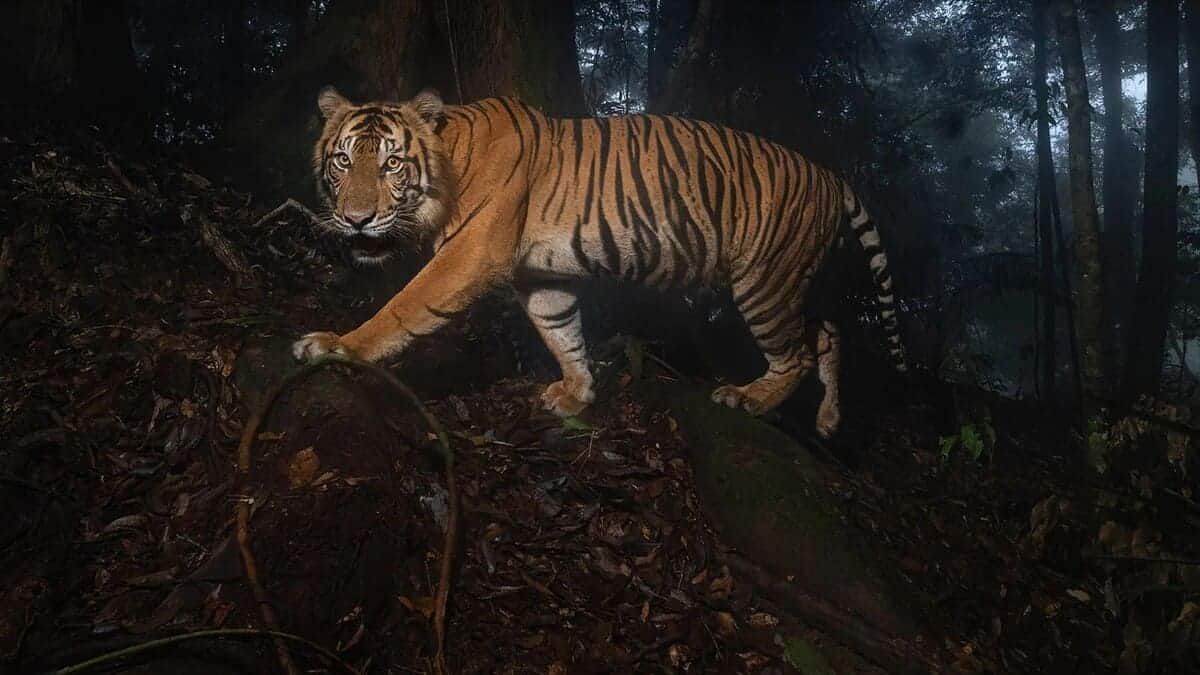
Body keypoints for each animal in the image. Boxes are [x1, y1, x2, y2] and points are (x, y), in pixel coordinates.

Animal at [293, 87, 906, 438]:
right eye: (343, 161)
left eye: (392, 163)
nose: (355, 220)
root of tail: (830, 175)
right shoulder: (540, 277)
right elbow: (561, 331)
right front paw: (578, 392)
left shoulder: (468, 256)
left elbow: (404, 307)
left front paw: (335, 345)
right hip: (791, 280)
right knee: (829, 331)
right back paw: (828, 420)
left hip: (765, 281)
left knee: (797, 353)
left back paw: (747, 397)